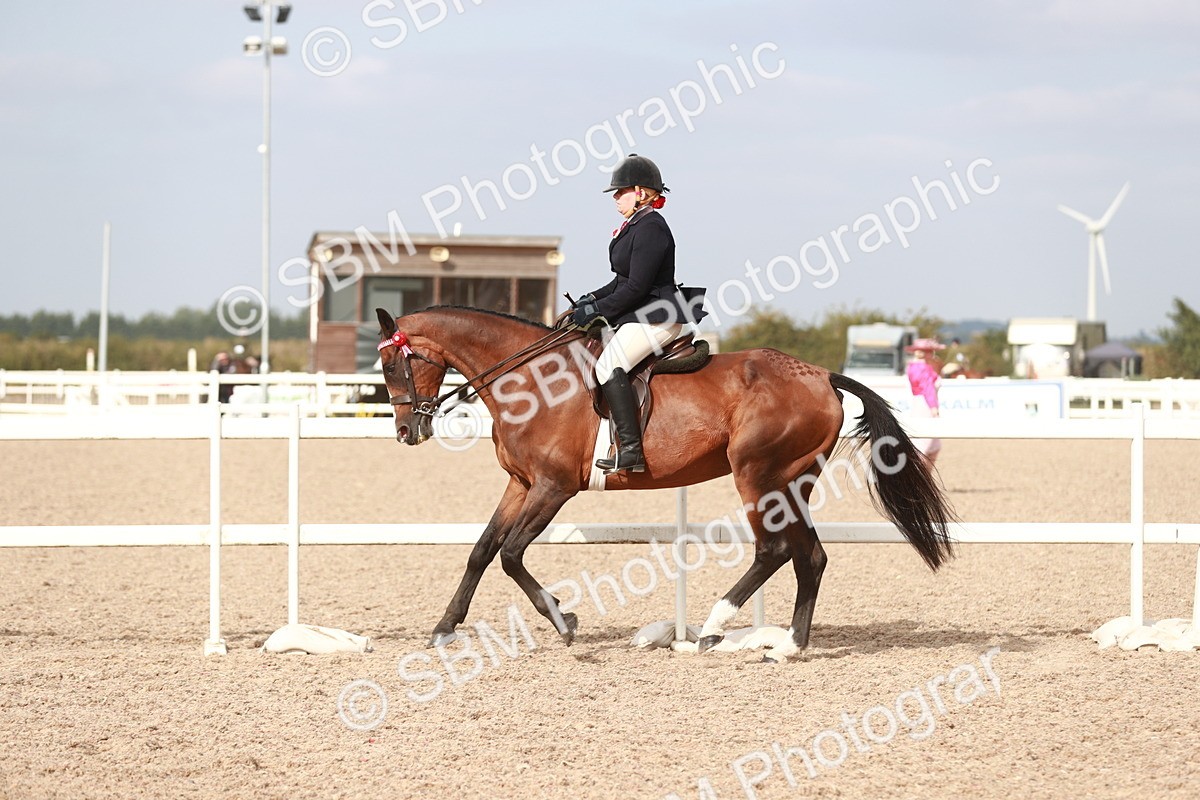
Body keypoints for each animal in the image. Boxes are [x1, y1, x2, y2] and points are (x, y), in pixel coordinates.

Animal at [375, 306, 955, 662]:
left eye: (392, 365)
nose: (406, 432)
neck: (529, 380)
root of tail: (821, 375)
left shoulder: (553, 487)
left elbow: (512, 554)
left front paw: (564, 620)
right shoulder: (521, 483)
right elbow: (482, 549)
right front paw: (445, 627)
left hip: (757, 475)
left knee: (773, 550)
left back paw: (713, 628)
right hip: (792, 483)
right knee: (808, 555)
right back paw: (789, 645)